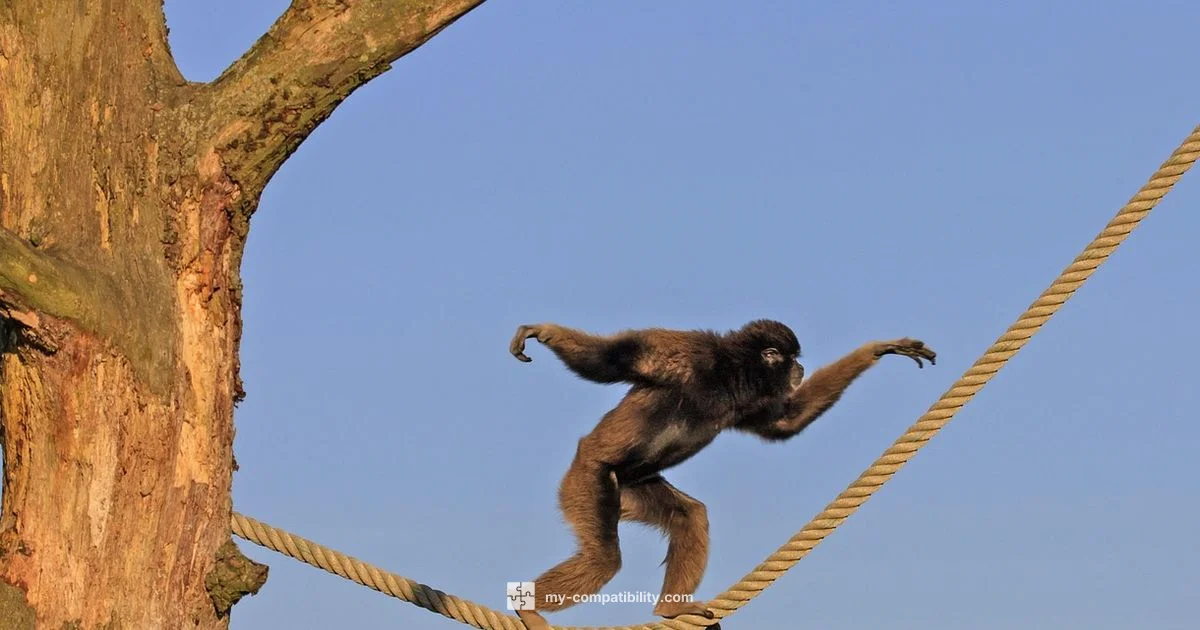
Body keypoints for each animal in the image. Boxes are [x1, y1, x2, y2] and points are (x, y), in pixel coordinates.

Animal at [508, 319, 935, 630]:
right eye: (790, 358)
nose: (800, 367)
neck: (729, 373)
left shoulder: (750, 399)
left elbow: (785, 422)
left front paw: (877, 349)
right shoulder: (688, 350)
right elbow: (614, 357)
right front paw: (542, 331)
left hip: (631, 487)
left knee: (689, 514)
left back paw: (670, 611)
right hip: (591, 477)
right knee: (604, 559)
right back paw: (527, 608)